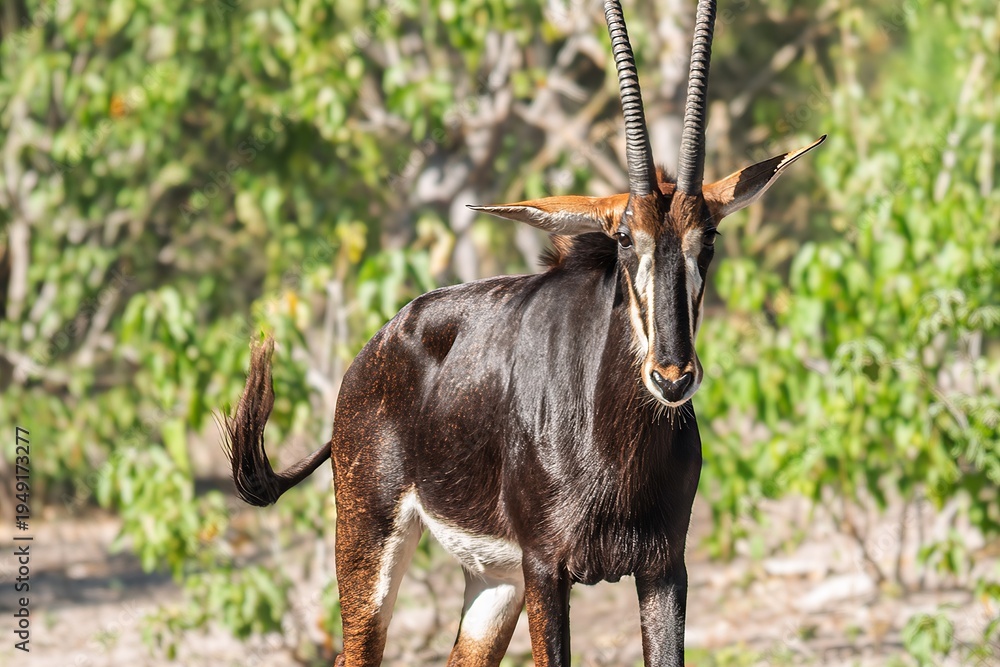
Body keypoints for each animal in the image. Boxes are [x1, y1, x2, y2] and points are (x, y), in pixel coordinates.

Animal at [223, 1, 824, 665]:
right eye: (624, 238)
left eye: (708, 239)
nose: (672, 376)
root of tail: (374, 350)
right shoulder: (546, 567)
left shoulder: (665, 567)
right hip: (371, 542)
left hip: (494, 580)